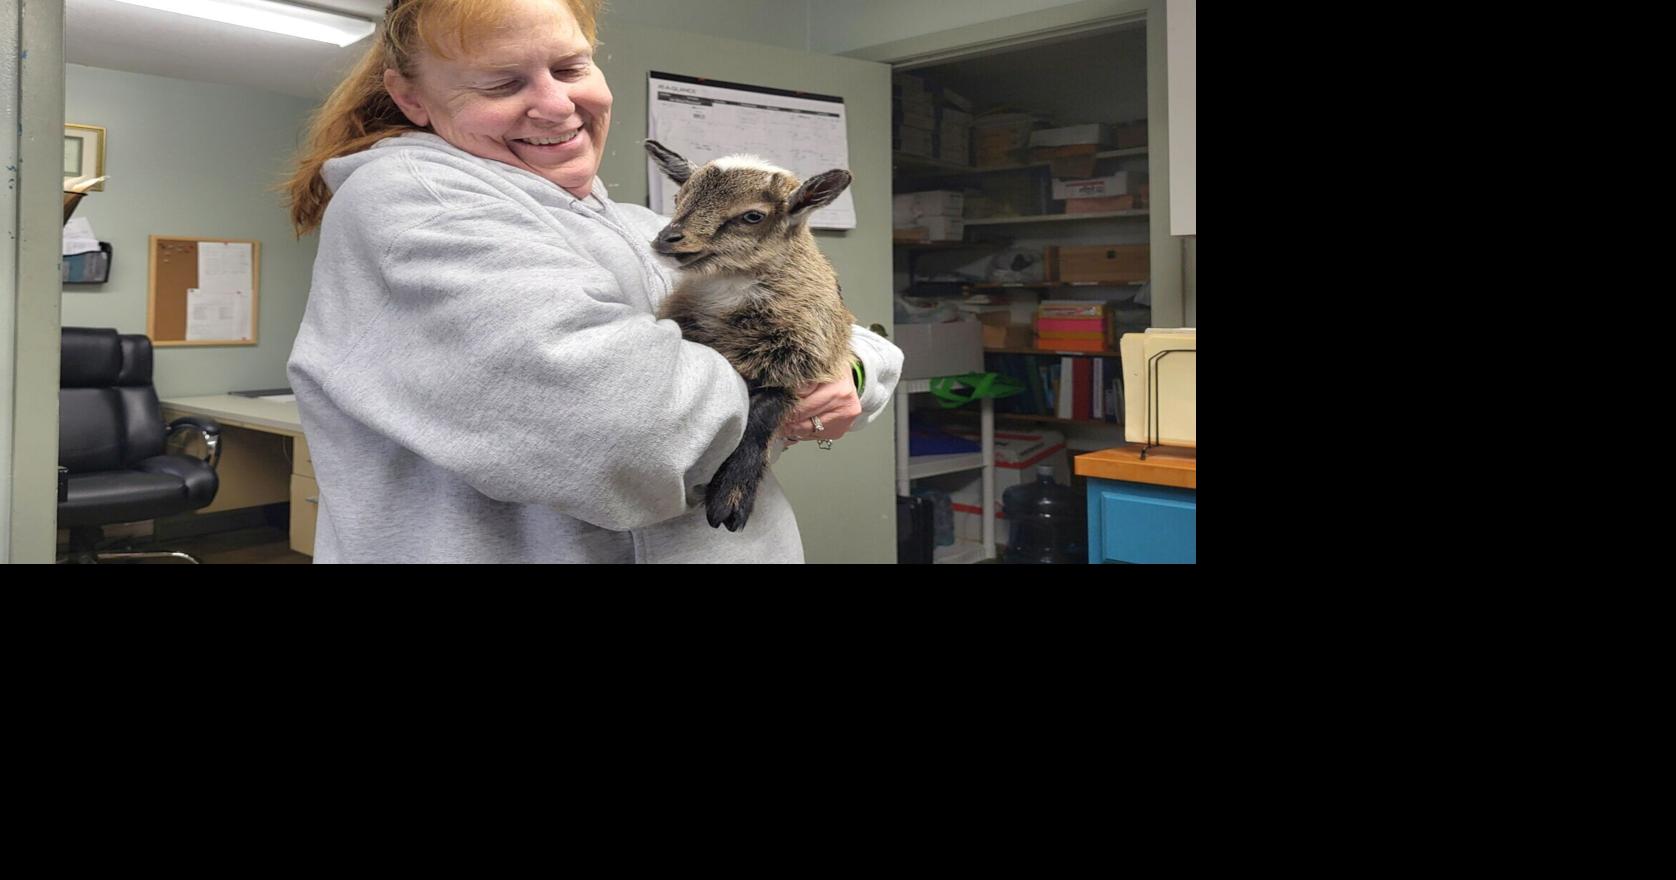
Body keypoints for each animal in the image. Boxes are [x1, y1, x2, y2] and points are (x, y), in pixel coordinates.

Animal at [644, 139, 855, 532]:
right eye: (679, 196)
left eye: (753, 216)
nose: (667, 239)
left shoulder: (802, 362)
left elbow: (764, 411)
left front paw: (731, 497)